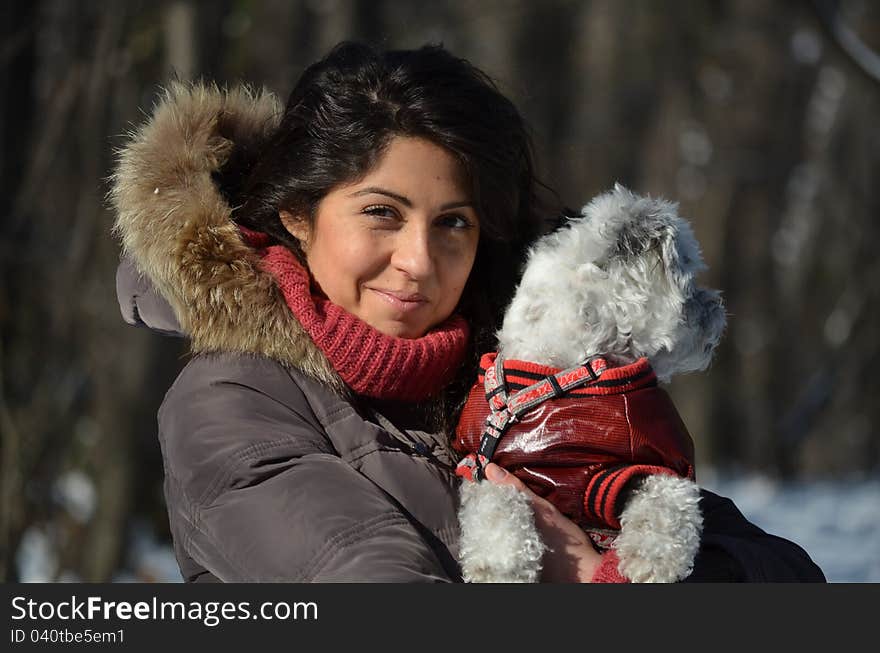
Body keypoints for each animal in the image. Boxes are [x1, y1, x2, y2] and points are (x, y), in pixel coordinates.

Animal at [458, 182, 724, 580]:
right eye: (690, 281)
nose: (718, 310)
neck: (569, 373)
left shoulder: (646, 464)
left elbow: (667, 499)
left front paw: (653, 559)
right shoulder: (482, 463)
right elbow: (492, 505)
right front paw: (501, 564)